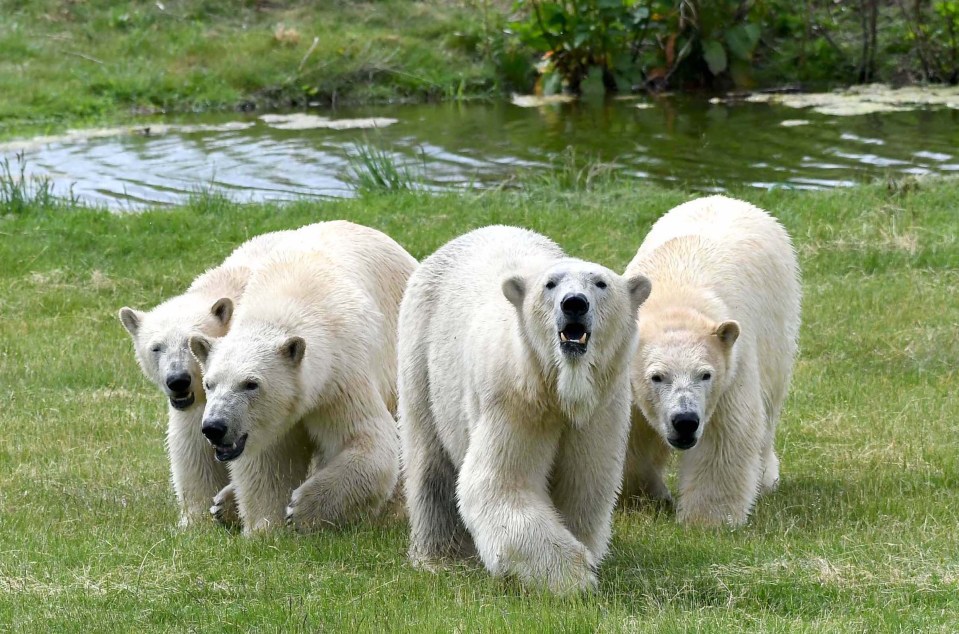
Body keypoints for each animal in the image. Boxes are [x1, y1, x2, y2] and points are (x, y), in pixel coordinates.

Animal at [190, 222, 416, 532]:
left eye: (251, 384)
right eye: (209, 384)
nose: (215, 427)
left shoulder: (340, 375)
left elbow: (368, 441)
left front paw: (301, 510)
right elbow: (268, 462)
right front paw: (265, 527)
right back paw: (223, 504)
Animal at [398, 225, 652, 592]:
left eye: (600, 283)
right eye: (551, 283)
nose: (574, 303)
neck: (560, 388)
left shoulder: (602, 408)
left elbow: (585, 483)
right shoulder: (514, 399)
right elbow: (502, 483)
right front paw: (573, 576)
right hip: (422, 352)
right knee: (430, 462)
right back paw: (439, 557)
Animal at [624, 195, 804, 524]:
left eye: (704, 374)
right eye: (657, 376)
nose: (685, 421)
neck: (674, 299)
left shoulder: (731, 369)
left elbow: (724, 437)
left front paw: (708, 520)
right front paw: (644, 497)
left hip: (778, 321)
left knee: (770, 405)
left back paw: (766, 478)